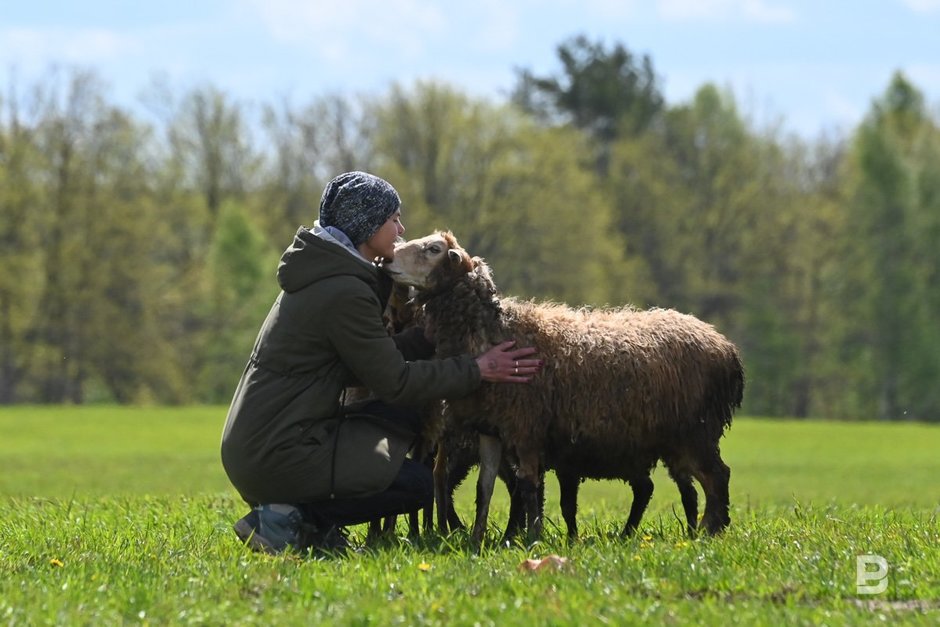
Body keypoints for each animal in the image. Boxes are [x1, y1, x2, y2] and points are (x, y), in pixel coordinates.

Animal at [380, 233, 740, 548]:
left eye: (433, 249)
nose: (387, 259)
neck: (498, 332)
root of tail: (724, 347)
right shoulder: (491, 429)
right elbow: (485, 489)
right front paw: (476, 540)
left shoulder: (526, 427)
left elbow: (528, 486)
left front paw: (532, 538)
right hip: (674, 438)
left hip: (696, 430)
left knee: (717, 476)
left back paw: (711, 531)